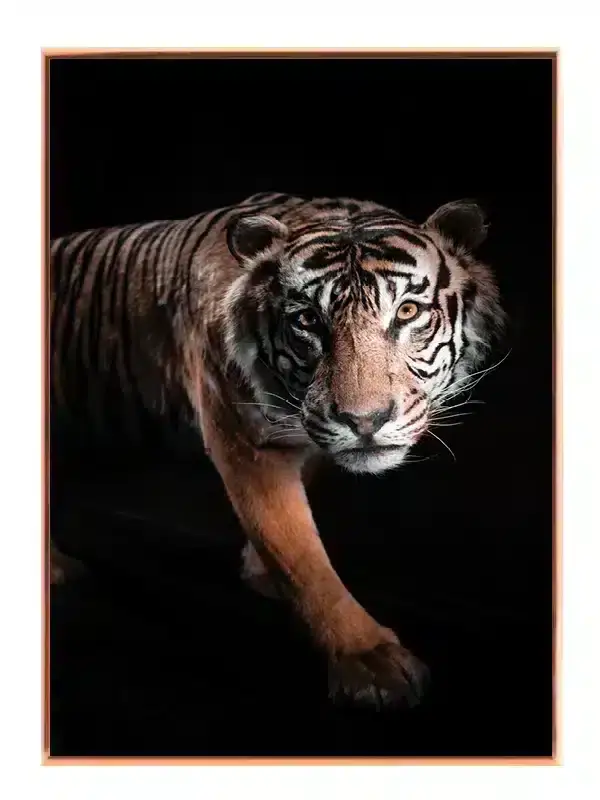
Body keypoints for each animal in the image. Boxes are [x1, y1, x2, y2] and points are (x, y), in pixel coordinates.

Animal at [49, 191, 505, 708]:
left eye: (407, 313)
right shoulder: (248, 442)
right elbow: (295, 548)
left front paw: (260, 571)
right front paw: (368, 661)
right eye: (307, 320)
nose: (365, 421)